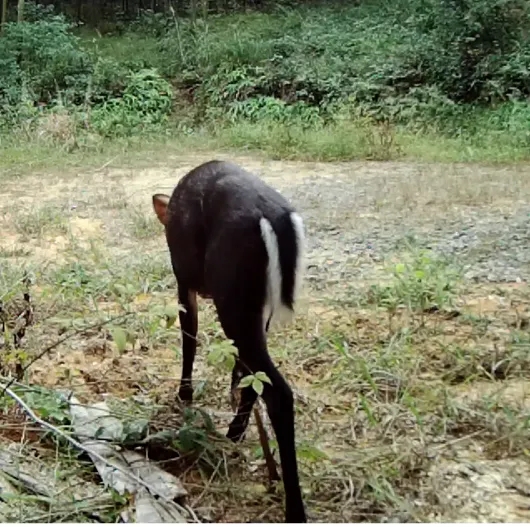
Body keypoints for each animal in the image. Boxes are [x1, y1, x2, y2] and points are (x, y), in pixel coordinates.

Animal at [151, 159, 306, 520]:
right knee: (258, 375)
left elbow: (189, 338)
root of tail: (276, 219)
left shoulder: (183, 279)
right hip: (249, 305)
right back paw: (236, 432)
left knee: (279, 392)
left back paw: (294, 507)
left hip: (232, 294)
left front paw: (184, 395)